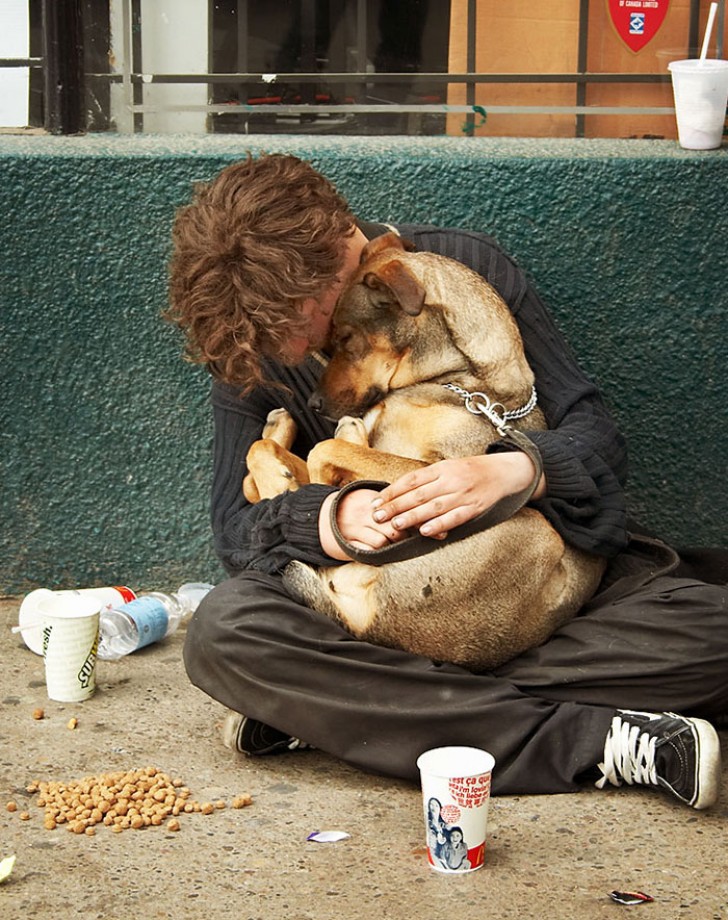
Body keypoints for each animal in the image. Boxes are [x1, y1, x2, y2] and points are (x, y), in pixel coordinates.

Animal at [242, 235, 604, 668]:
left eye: (346, 340)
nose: (313, 405)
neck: (466, 381)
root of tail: (370, 624)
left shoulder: (436, 470)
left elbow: (323, 451)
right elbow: (261, 455)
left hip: (533, 529)